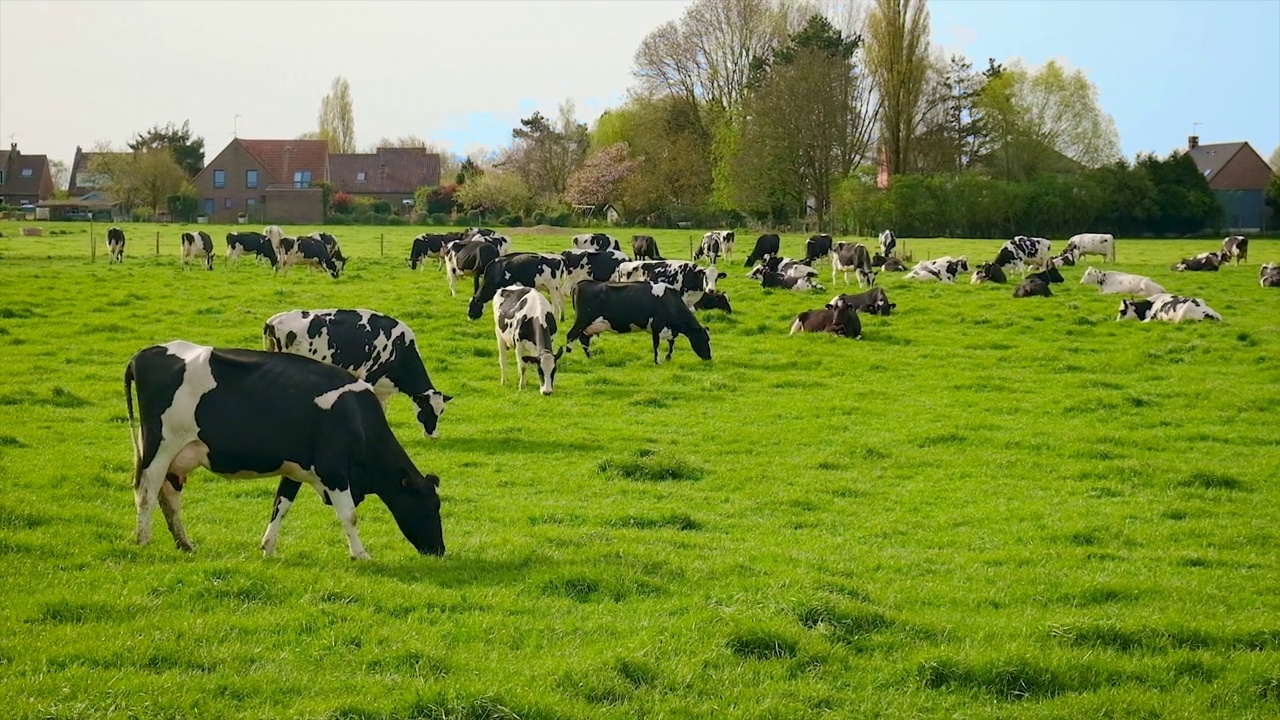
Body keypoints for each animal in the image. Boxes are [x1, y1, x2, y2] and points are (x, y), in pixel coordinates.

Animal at [124, 338, 445, 558]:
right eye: (431, 509)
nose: (440, 550)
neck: (355, 416)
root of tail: (147, 353)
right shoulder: (335, 471)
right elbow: (349, 515)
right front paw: (361, 554)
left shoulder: (296, 469)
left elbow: (281, 506)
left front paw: (267, 547)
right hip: (159, 449)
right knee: (146, 492)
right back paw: (143, 541)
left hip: (177, 457)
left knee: (169, 497)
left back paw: (185, 543)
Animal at [262, 308, 453, 438]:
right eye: (427, 410)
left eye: (441, 411)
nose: (433, 436)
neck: (400, 348)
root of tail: (275, 320)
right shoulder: (369, 378)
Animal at [568, 279, 716, 361]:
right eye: (705, 339)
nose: (709, 357)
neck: (670, 300)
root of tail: (581, 283)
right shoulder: (657, 325)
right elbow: (656, 345)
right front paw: (657, 361)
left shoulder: (670, 329)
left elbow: (671, 343)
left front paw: (668, 357)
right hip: (582, 320)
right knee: (570, 336)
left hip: (588, 326)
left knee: (583, 340)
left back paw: (591, 358)